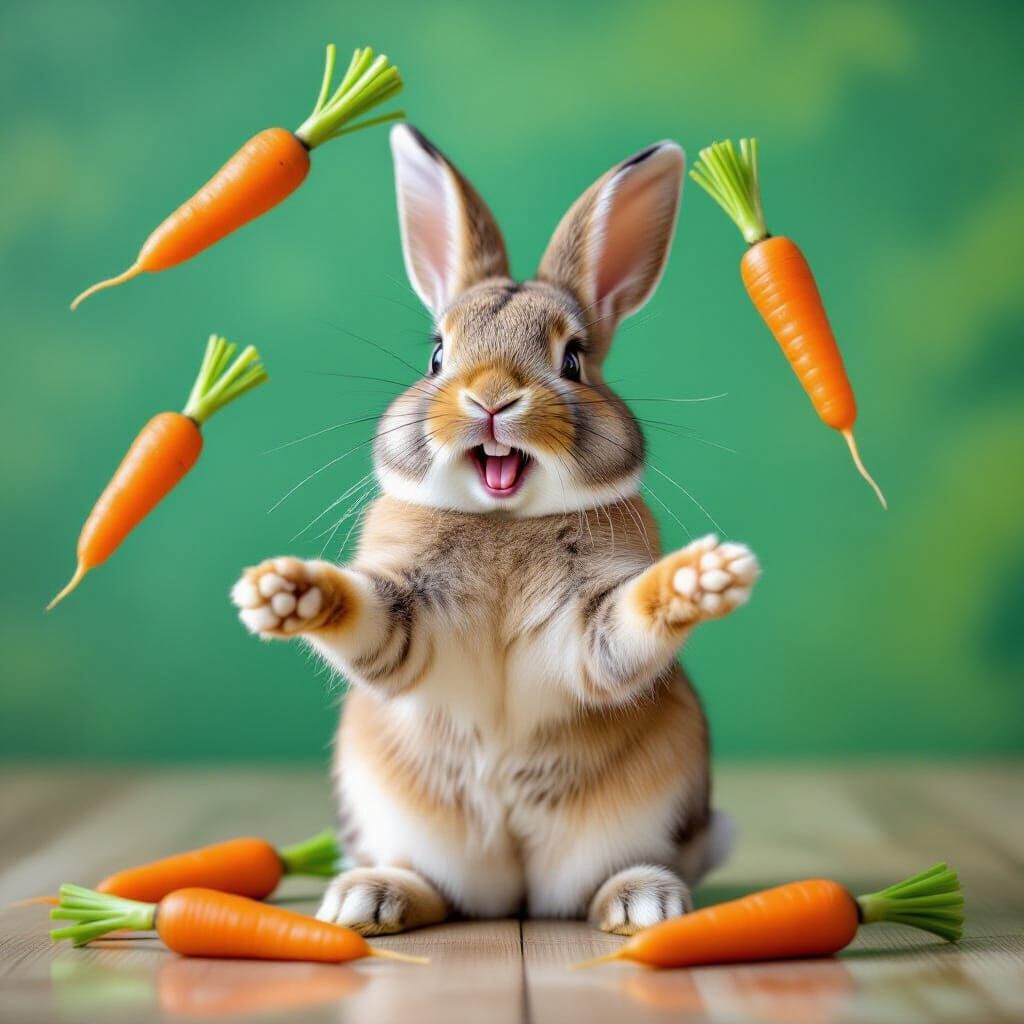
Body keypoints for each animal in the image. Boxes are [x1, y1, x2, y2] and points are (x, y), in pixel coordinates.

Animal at [231, 125, 759, 936]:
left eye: (573, 359)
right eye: (435, 353)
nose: (490, 399)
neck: (505, 521)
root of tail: (516, 898)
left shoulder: (592, 625)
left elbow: (628, 622)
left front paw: (705, 577)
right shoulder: (404, 610)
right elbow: (366, 616)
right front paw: (282, 593)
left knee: (598, 886)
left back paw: (645, 904)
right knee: (438, 892)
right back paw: (365, 901)